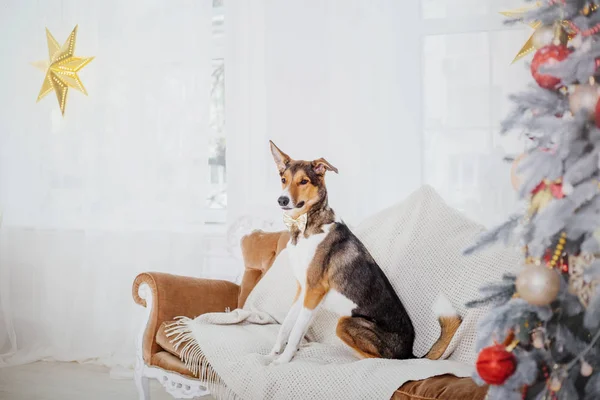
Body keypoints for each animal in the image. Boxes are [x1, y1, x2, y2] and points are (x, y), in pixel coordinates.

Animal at [270, 141, 462, 366]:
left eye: (303, 181)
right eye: (284, 179)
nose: (282, 200)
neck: (304, 227)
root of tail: (409, 354)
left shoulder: (314, 290)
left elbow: (295, 332)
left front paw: (283, 360)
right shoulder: (303, 289)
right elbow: (287, 326)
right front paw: (273, 353)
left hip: (345, 323)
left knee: (381, 359)